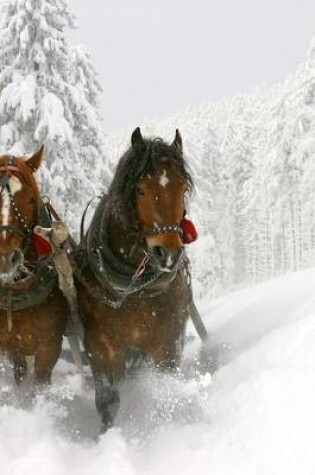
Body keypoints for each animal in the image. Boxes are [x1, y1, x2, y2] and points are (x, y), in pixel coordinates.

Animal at [74, 129, 195, 432]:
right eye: (140, 190)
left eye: (182, 189)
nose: (168, 253)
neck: (134, 289)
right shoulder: (101, 346)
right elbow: (108, 401)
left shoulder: (168, 345)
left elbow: (166, 393)